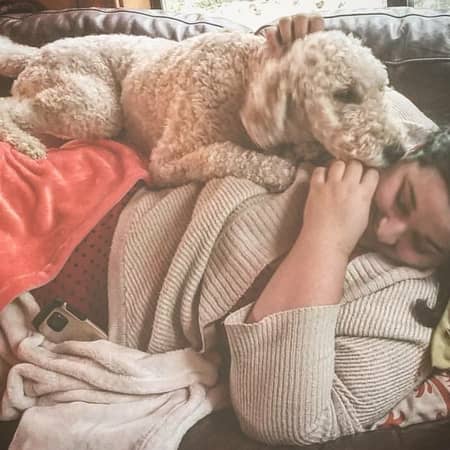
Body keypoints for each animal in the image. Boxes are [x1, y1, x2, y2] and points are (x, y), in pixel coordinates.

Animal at [0, 31, 405, 192]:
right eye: (345, 93)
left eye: (382, 88)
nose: (399, 151)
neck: (244, 77)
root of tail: (37, 52)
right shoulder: (166, 161)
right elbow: (222, 154)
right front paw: (279, 168)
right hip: (95, 107)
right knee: (10, 107)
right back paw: (28, 145)